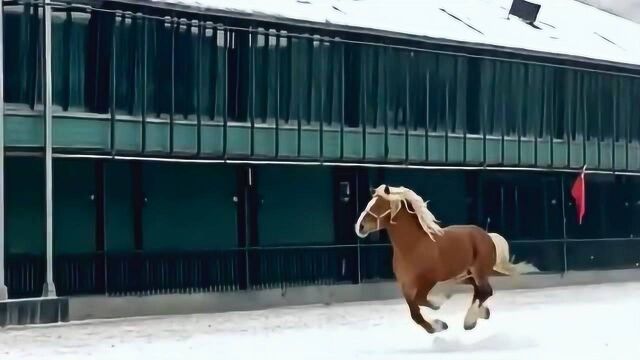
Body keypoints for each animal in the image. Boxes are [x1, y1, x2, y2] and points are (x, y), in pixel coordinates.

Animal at [356, 184, 536, 334]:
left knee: (485, 290)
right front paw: (437, 326)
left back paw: (469, 321)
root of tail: (487, 235)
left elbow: (421, 300)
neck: (414, 246)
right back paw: (482, 314)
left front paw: (439, 305)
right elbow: (415, 312)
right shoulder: (406, 285)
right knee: (479, 291)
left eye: (379, 205)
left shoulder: (428, 279)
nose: (360, 227)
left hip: (478, 270)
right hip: (467, 274)